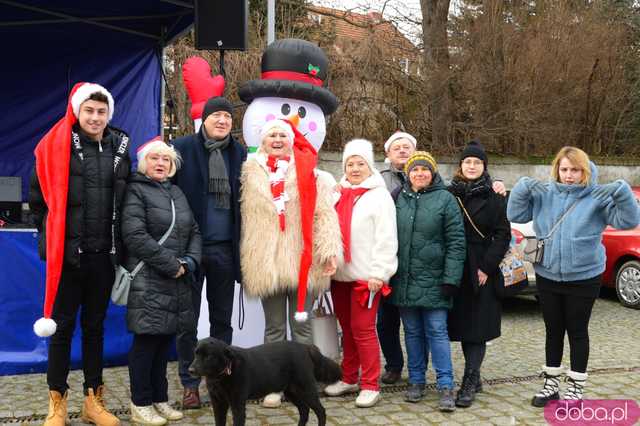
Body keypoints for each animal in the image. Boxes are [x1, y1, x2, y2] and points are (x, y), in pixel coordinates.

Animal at [188, 338, 342, 424]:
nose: (190, 370)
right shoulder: (218, 403)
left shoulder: (238, 404)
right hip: (292, 392)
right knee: (304, 410)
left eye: (209, 357)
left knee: (320, 411)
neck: (221, 376)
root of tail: (305, 347)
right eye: (195, 353)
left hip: (306, 389)